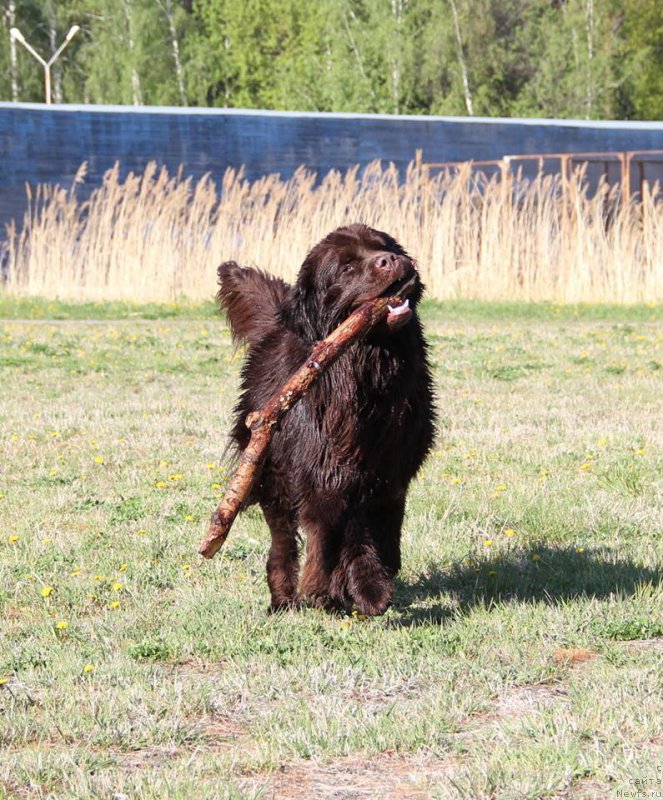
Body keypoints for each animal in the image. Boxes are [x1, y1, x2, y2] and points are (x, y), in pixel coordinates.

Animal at [218, 222, 436, 616]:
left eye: (385, 246)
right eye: (347, 267)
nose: (390, 259)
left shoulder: (392, 470)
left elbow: (382, 528)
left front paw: (374, 579)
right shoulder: (327, 471)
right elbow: (342, 530)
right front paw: (364, 589)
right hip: (270, 472)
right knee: (284, 541)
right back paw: (286, 598)